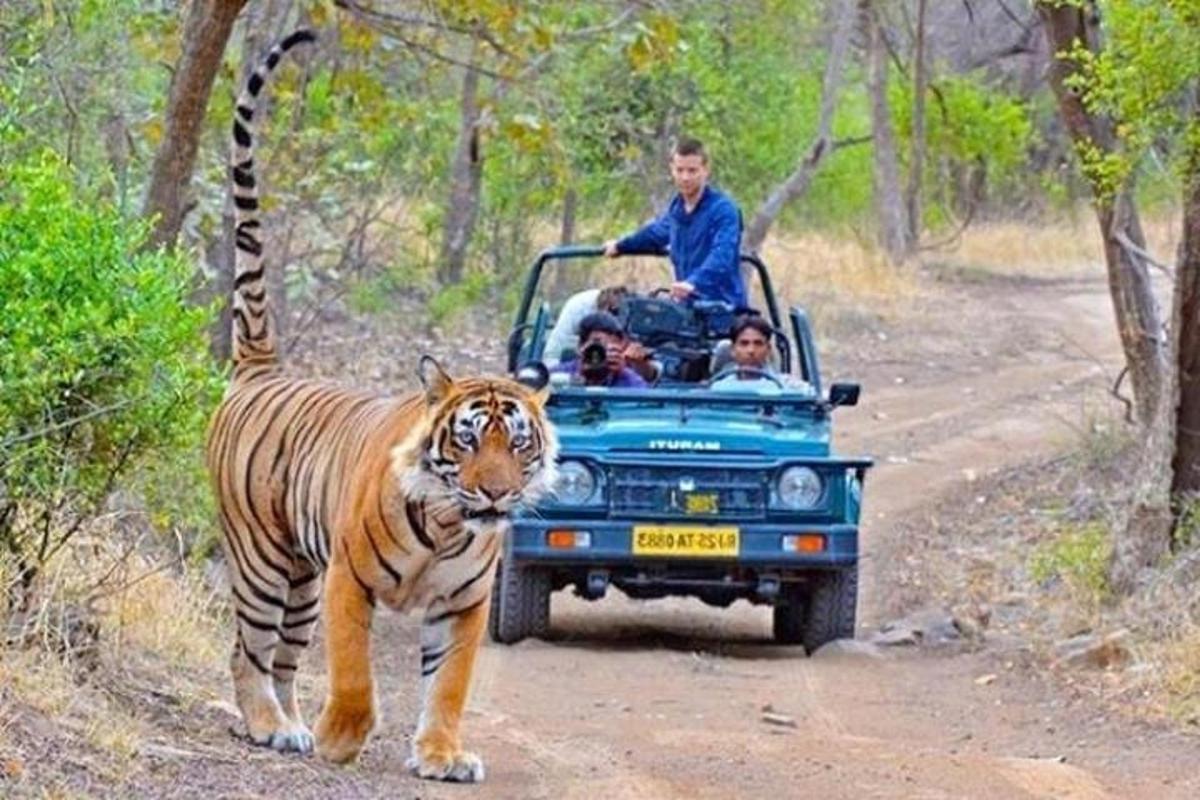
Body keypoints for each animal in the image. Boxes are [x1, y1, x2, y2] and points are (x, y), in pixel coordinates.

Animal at [206, 31, 556, 782]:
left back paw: (290, 726)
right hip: (262, 558)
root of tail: (260, 370)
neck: (451, 524)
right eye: (467, 440)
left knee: (283, 658)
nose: (494, 494)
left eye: (518, 444)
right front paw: (343, 739)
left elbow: (448, 685)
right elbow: (355, 673)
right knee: (247, 648)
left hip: (301, 580)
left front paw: (442, 755)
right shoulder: (349, 581)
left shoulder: (463, 604)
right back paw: (268, 725)